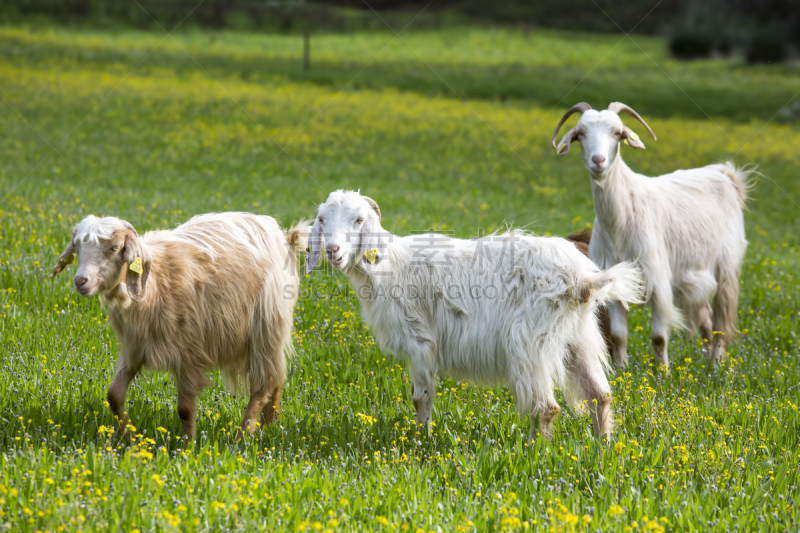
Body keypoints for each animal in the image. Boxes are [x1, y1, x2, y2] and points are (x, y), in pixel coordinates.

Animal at [304, 189, 644, 438]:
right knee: (599, 395)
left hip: (529, 340)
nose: (333, 250)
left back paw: (535, 454)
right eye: (321, 219)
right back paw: (602, 448)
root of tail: (582, 279)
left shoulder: (420, 340)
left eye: (359, 220)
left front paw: (421, 440)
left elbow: (420, 397)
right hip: (578, 338)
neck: (390, 266)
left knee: (546, 407)